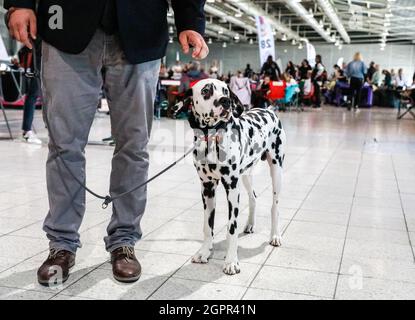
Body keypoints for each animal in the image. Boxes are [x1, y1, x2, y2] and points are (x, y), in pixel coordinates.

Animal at [175, 78, 286, 276]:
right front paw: (204, 252)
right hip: (246, 174)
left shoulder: (232, 188)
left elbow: (231, 228)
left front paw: (231, 261)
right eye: (206, 91)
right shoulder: (207, 188)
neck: (211, 138)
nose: (225, 101)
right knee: (253, 197)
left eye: (226, 90)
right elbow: (207, 226)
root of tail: (269, 110)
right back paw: (250, 225)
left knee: (275, 206)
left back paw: (275, 235)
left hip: (276, 170)